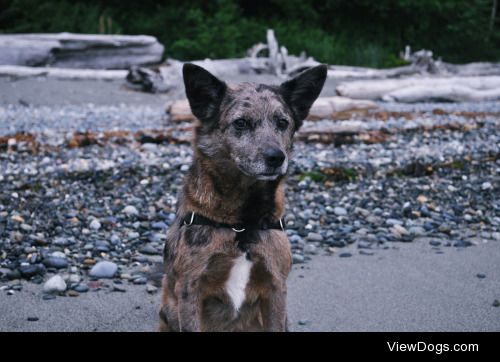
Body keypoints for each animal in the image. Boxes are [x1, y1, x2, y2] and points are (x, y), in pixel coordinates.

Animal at [160, 63, 328, 330]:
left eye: (283, 122)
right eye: (240, 123)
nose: (276, 157)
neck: (242, 223)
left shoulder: (276, 288)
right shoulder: (189, 290)